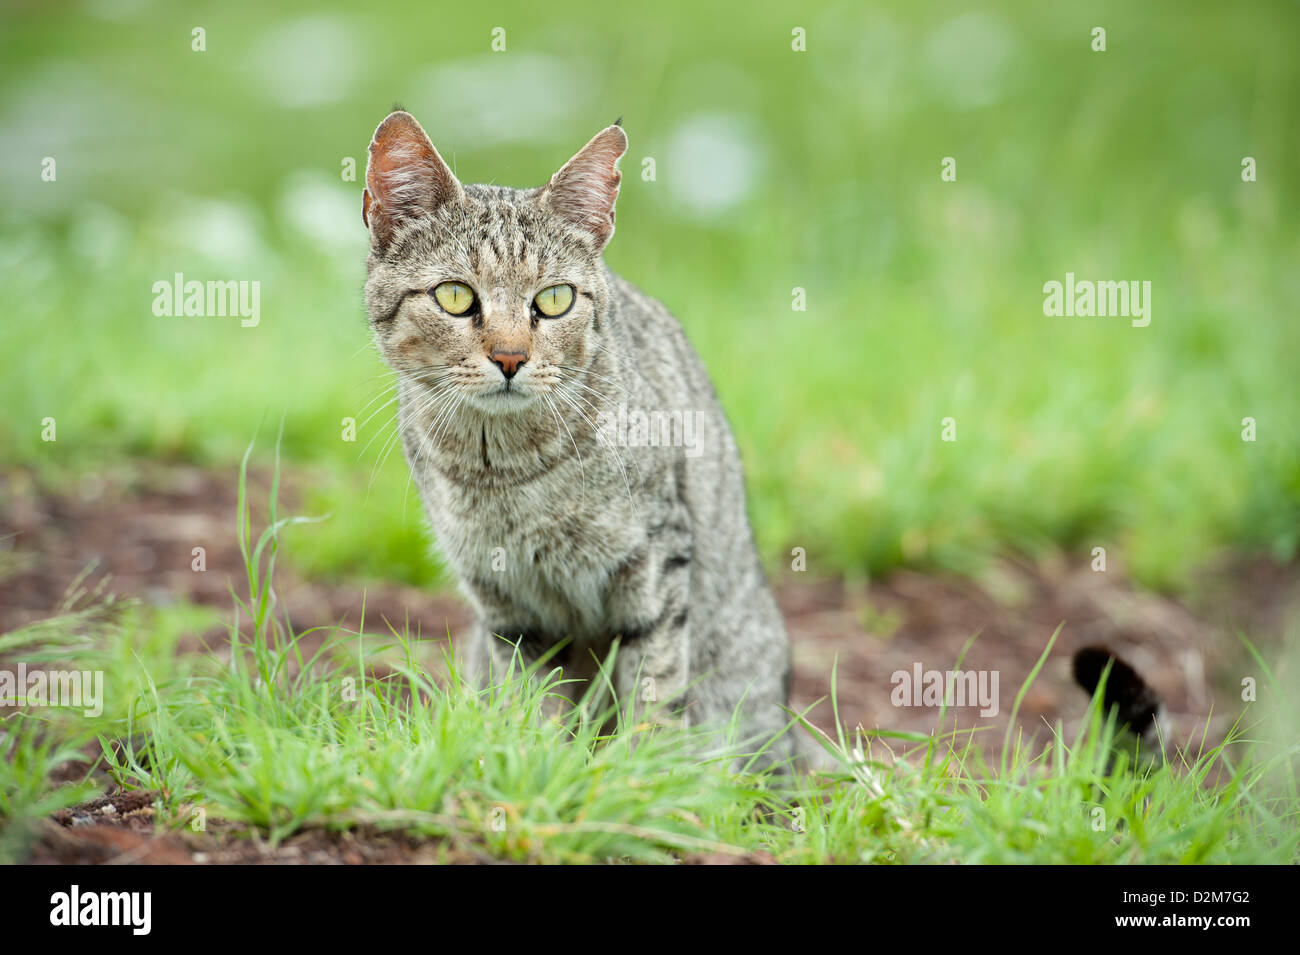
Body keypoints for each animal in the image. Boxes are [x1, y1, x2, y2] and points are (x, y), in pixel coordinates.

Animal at [361, 110, 795, 769]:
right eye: (456, 297)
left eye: (554, 299)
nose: (510, 358)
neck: (502, 467)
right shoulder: (506, 600)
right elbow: (532, 698)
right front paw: (535, 759)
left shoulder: (657, 556)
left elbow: (655, 684)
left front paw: (642, 772)